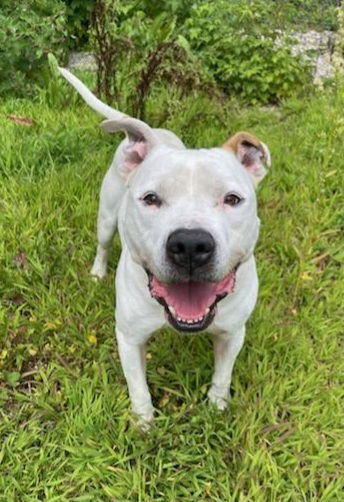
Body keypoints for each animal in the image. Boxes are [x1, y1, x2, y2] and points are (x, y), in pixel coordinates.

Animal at [57, 68, 270, 426]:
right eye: (150, 198)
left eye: (232, 199)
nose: (190, 244)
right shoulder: (129, 338)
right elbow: (138, 387)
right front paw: (143, 424)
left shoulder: (232, 333)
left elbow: (222, 375)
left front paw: (217, 407)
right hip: (106, 218)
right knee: (103, 244)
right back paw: (98, 272)